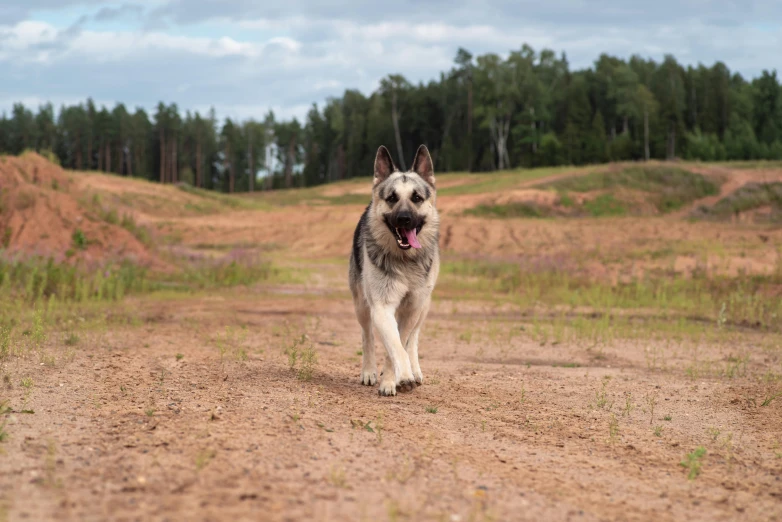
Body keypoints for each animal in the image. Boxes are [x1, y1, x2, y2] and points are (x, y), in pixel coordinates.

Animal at [350, 142, 440, 394]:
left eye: (417, 197)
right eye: (392, 198)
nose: (404, 218)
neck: (404, 260)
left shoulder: (412, 307)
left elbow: (402, 342)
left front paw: (395, 378)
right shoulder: (382, 307)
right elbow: (394, 344)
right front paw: (399, 377)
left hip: (424, 307)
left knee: (412, 340)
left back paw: (414, 370)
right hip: (362, 305)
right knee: (368, 336)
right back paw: (370, 371)